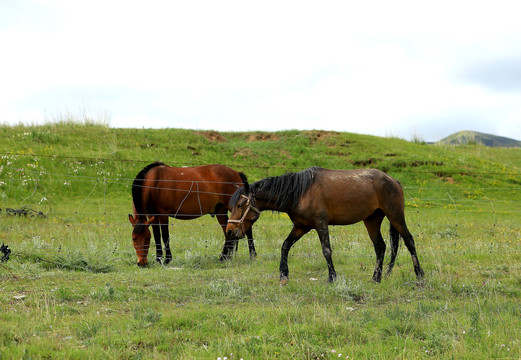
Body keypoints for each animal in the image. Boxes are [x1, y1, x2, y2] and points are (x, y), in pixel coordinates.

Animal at [127, 162, 255, 266]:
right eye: (133, 238)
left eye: (147, 238)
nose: (142, 263)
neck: (153, 182)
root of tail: (236, 173)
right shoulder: (152, 216)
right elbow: (157, 235)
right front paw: (158, 259)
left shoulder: (163, 215)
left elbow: (165, 236)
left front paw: (167, 259)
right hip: (221, 210)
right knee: (227, 233)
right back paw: (224, 258)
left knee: (247, 229)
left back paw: (252, 255)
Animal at [226, 167, 422, 286]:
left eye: (240, 205)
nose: (230, 231)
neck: (301, 192)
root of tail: (393, 180)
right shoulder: (301, 226)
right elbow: (285, 245)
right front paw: (283, 276)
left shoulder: (321, 224)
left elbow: (326, 250)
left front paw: (332, 277)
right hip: (372, 220)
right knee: (380, 247)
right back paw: (376, 279)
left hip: (395, 215)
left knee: (409, 241)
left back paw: (420, 276)